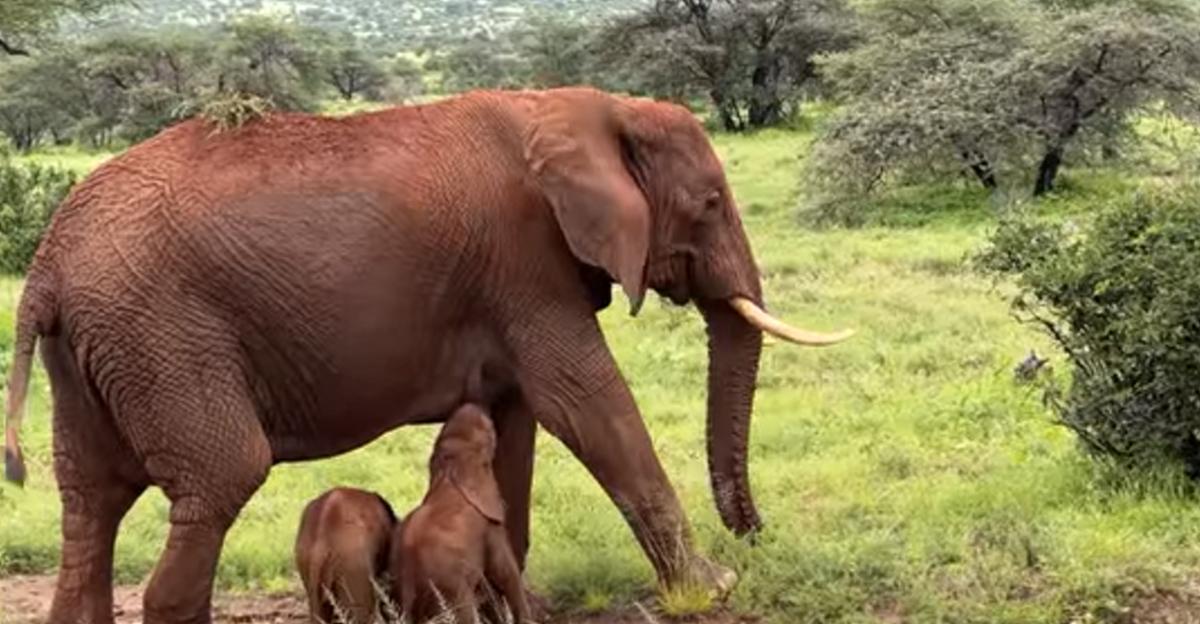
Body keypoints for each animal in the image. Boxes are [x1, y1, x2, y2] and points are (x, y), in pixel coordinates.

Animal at [393, 405, 530, 624]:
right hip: (450, 585)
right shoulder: (488, 521)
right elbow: (504, 570)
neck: (452, 469)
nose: (475, 406)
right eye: (489, 431)